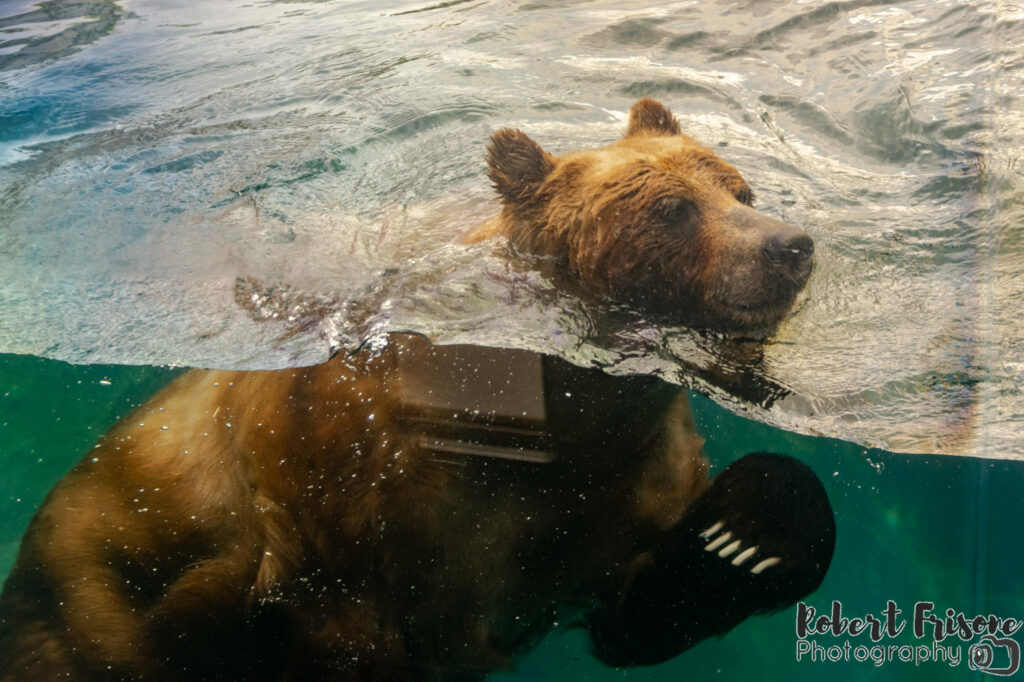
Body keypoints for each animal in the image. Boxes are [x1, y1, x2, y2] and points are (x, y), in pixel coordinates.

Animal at [0, 98, 831, 675]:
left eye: (740, 191)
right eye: (672, 207)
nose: (791, 246)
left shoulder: (605, 497)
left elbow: (644, 608)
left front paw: (745, 535)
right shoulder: (352, 492)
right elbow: (340, 620)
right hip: (86, 584)